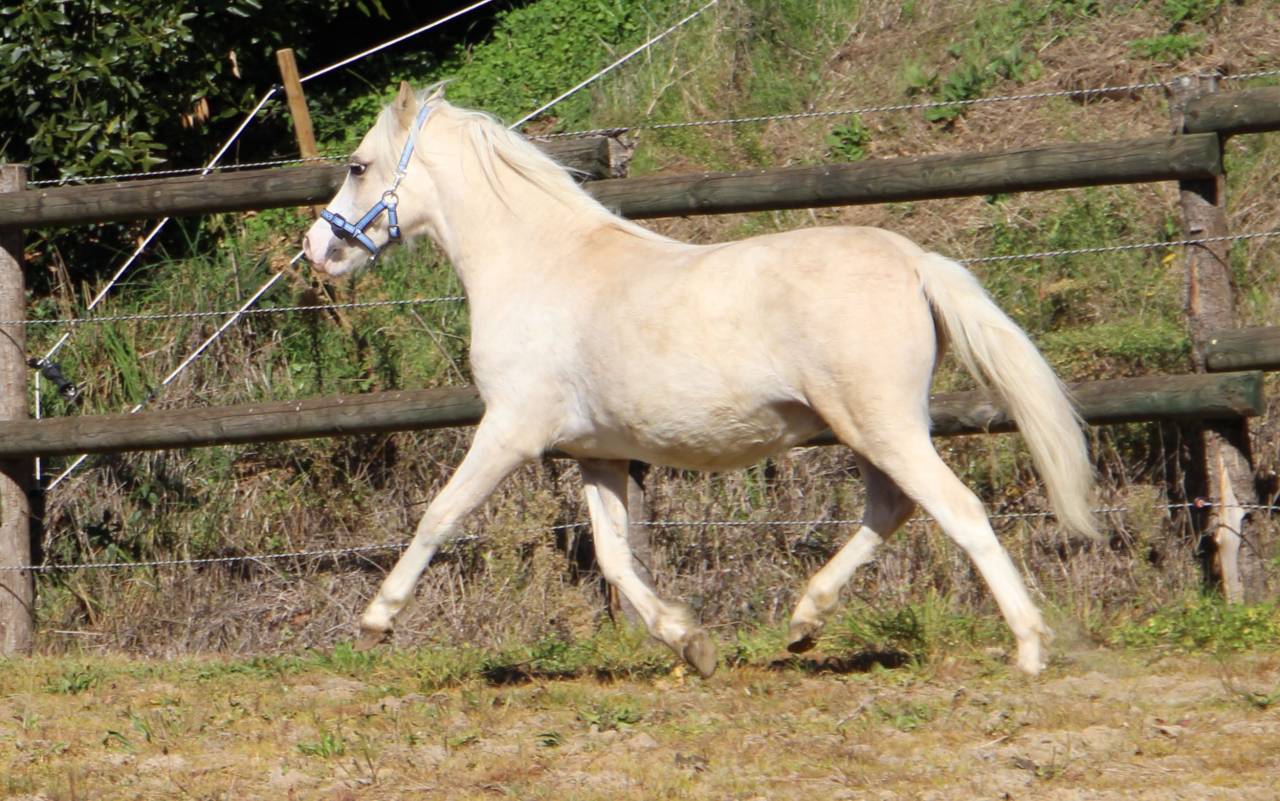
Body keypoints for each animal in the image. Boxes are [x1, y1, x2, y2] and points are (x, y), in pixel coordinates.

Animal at [303, 82, 1097, 677]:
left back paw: (1029, 649)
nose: (316, 250)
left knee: (957, 509)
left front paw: (375, 620)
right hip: (872, 430)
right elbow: (615, 558)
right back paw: (803, 623)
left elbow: (439, 515)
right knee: (891, 509)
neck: (541, 264)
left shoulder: (511, 431)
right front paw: (692, 643)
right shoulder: (595, 452)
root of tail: (913, 259)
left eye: (358, 165)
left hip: (883, 425)